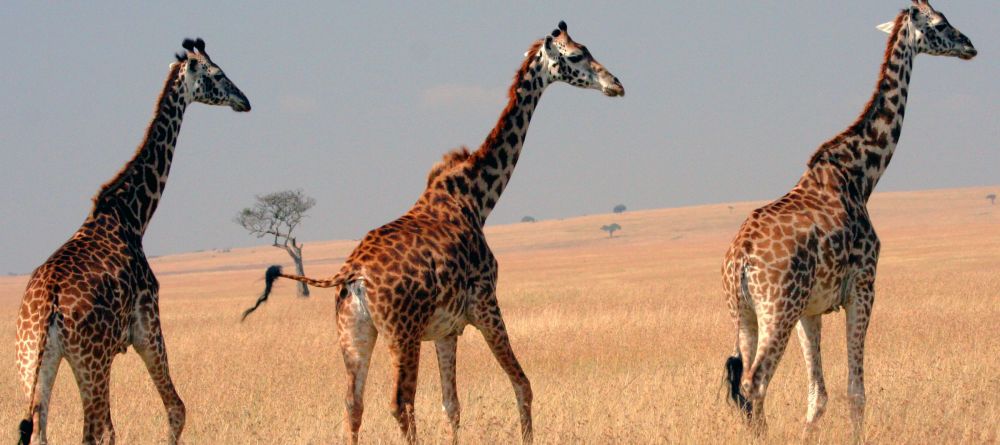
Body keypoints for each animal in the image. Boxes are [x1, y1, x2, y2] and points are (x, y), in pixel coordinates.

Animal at [15, 38, 250, 445]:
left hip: (31, 363)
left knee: (40, 430)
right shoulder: (147, 323)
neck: (133, 215)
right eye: (218, 74)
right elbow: (176, 410)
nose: (245, 101)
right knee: (97, 430)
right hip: (91, 361)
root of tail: (47, 310)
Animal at [241, 21, 623, 444]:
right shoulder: (485, 303)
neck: (476, 198)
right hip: (402, 333)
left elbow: (451, 405)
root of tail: (351, 274)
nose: (616, 85)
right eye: (577, 55)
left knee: (353, 405)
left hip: (353, 334)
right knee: (400, 402)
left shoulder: (446, 330)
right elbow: (522, 385)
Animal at [721, 1, 976, 440]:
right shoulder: (863, 286)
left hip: (746, 314)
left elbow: (817, 396)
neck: (861, 174)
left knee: (741, 382)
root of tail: (741, 259)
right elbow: (855, 391)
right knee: (755, 382)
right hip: (777, 309)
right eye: (941, 23)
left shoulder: (810, 309)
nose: (970, 46)